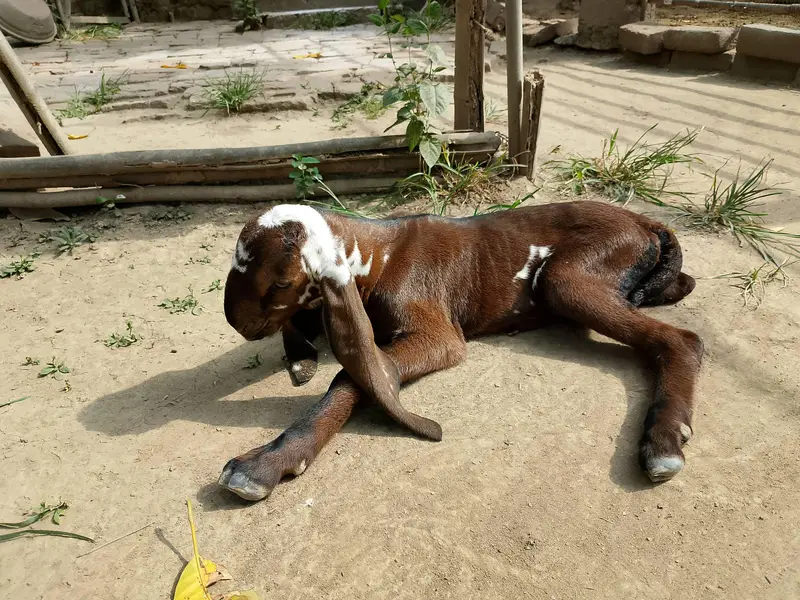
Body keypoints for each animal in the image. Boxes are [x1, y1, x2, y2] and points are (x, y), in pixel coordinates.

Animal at [220, 201, 702, 501]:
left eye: (280, 282)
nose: (235, 321)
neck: (377, 256)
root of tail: (646, 222)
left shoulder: (439, 336)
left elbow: (350, 376)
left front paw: (267, 462)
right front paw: (301, 358)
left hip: (564, 278)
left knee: (683, 340)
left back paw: (662, 440)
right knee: (681, 286)